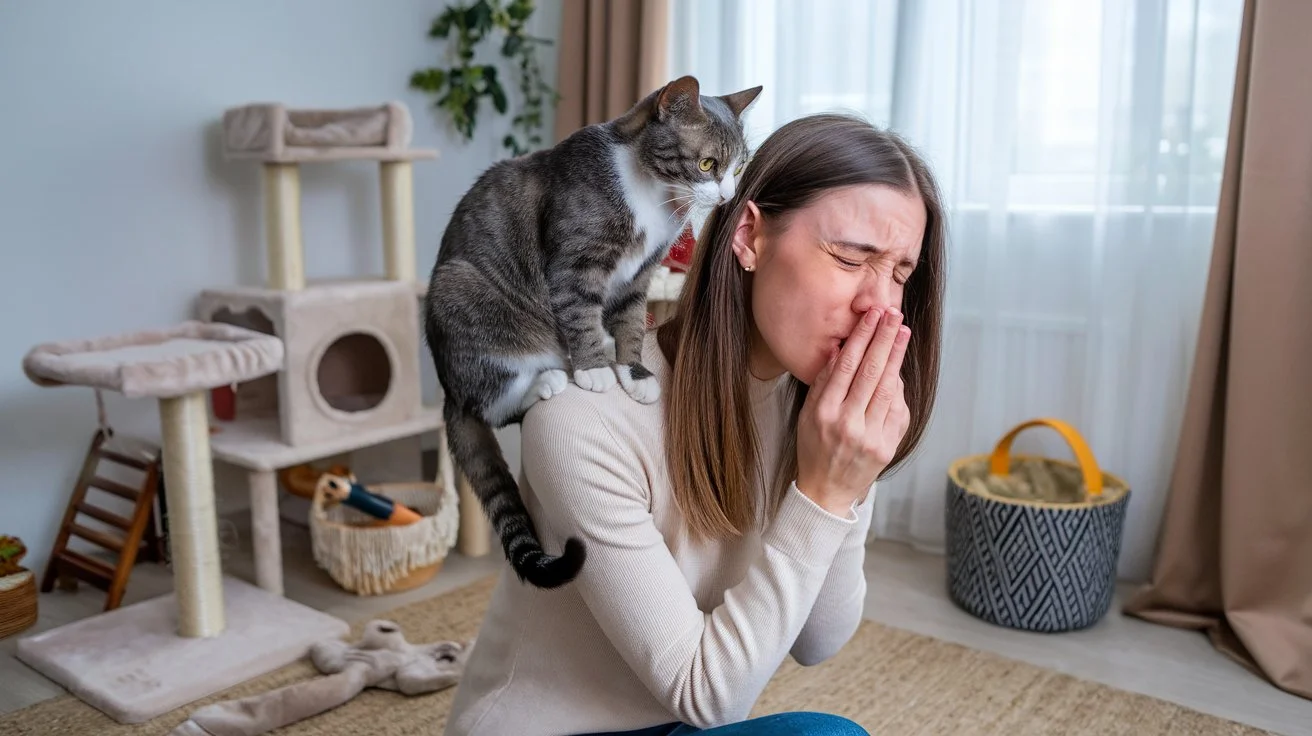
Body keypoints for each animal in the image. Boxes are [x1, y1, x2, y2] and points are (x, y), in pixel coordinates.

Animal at [425, 74, 766, 587]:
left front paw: (633, 372)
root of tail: (447, 386)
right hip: (460, 295)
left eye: (739, 166)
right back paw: (548, 379)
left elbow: (630, 322)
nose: (726, 196)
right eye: (708, 164)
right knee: (493, 403)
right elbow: (579, 311)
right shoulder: (575, 260)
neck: (653, 197)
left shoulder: (641, 273)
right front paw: (595, 370)